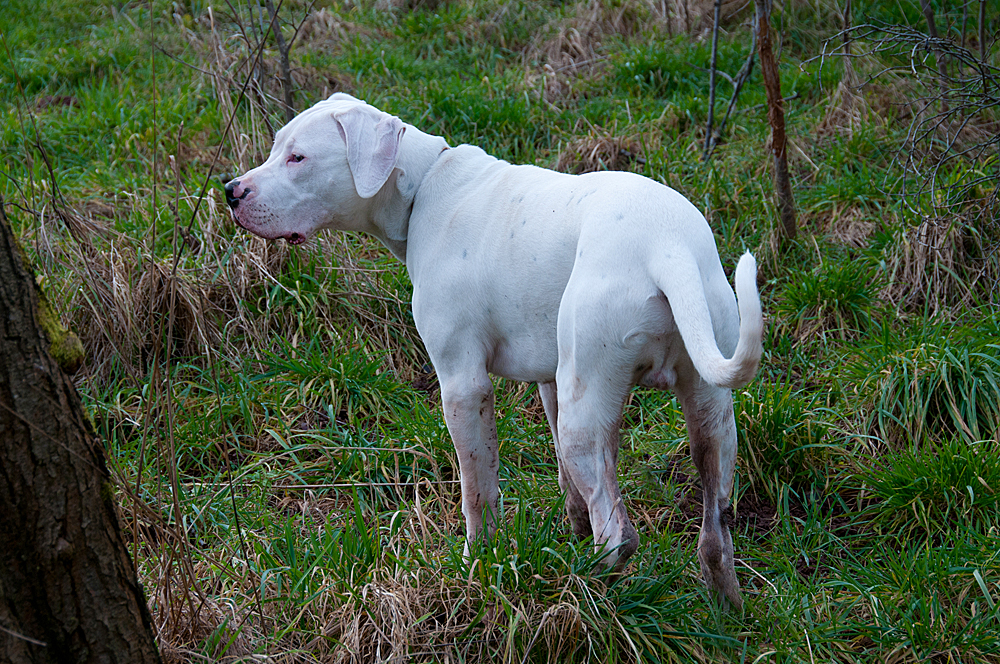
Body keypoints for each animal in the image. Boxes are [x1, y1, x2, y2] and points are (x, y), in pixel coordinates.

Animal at [225, 94, 756, 612]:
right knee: (714, 530)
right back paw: (723, 609)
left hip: (588, 414)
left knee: (618, 533)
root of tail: (667, 247)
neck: (424, 187)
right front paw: (567, 532)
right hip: (708, 414)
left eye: (298, 158)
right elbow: (565, 481)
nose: (231, 191)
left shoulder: (464, 386)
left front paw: (477, 564)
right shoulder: (551, 382)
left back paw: (585, 593)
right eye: (275, 148)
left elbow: (478, 492)